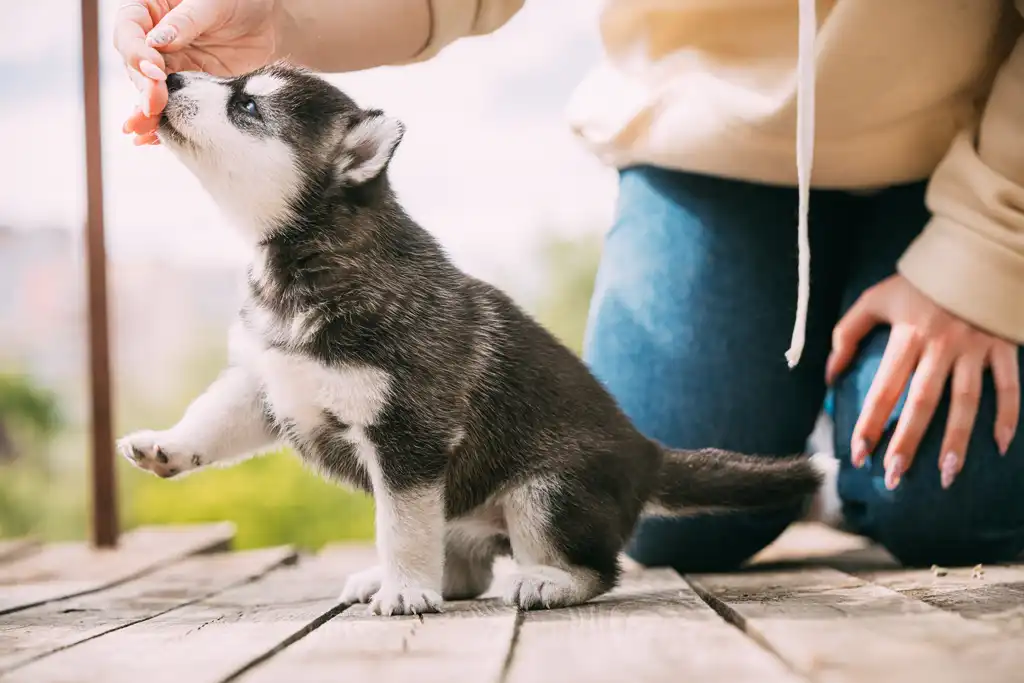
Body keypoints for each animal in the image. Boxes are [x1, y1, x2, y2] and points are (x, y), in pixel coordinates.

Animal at [121, 63, 823, 618]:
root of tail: (644, 451)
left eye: (247, 106)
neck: (306, 262)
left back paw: (543, 582)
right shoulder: (266, 381)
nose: (172, 77)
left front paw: (406, 590)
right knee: (465, 570)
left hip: (546, 494)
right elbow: (212, 419)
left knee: (597, 570)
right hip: (474, 509)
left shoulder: (408, 433)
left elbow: (400, 525)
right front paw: (166, 446)